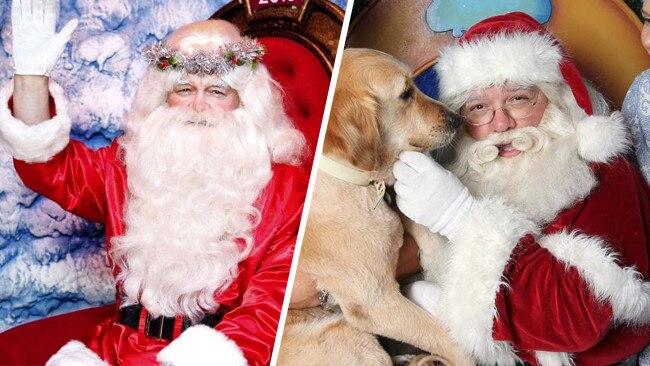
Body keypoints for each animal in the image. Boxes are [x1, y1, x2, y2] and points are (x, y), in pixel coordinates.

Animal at [276, 49, 474, 366]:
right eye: (405, 94)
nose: (459, 119)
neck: (355, 178)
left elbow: (424, 229)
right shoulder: (377, 302)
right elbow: (450, 341)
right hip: (356, 340)